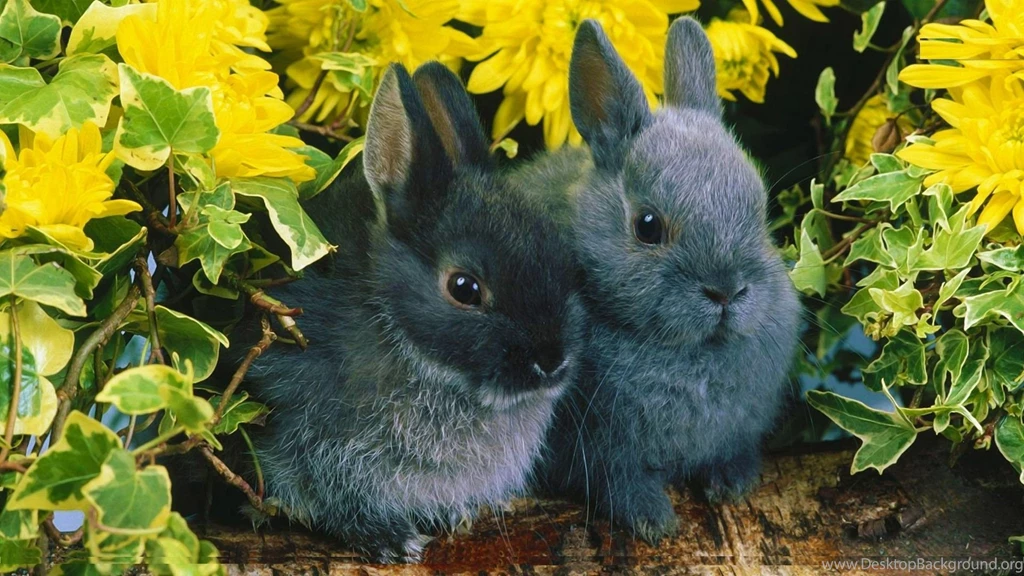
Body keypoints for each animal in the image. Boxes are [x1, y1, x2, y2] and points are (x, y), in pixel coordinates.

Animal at [242, 61, 585, 562]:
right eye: (464, 288)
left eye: (560, 257)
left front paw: (457, 516)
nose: (552, 362)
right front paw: (391, 542)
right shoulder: (306, 441)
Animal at [525, 18, 801, 544]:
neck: (687, 352)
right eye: (647, 226)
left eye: (758, 208)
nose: (726, 290)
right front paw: (652, 520)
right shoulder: (595, 450)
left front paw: (731, 484)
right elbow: (618, 481)